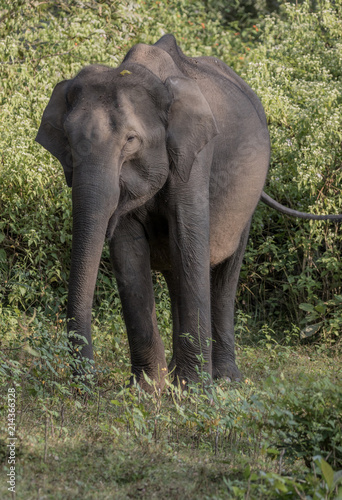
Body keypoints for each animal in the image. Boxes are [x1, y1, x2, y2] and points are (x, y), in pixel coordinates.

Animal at [35, 34, 342, 390]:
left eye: (131, 140)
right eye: (67, 142)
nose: (87, 384)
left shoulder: (196, 154)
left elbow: (189, 236)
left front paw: (194, 391)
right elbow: (128, 251)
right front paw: (147, 390)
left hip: (249, 199)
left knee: (224, 274)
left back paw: (225, 379)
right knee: (176, 272)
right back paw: (176, 374)